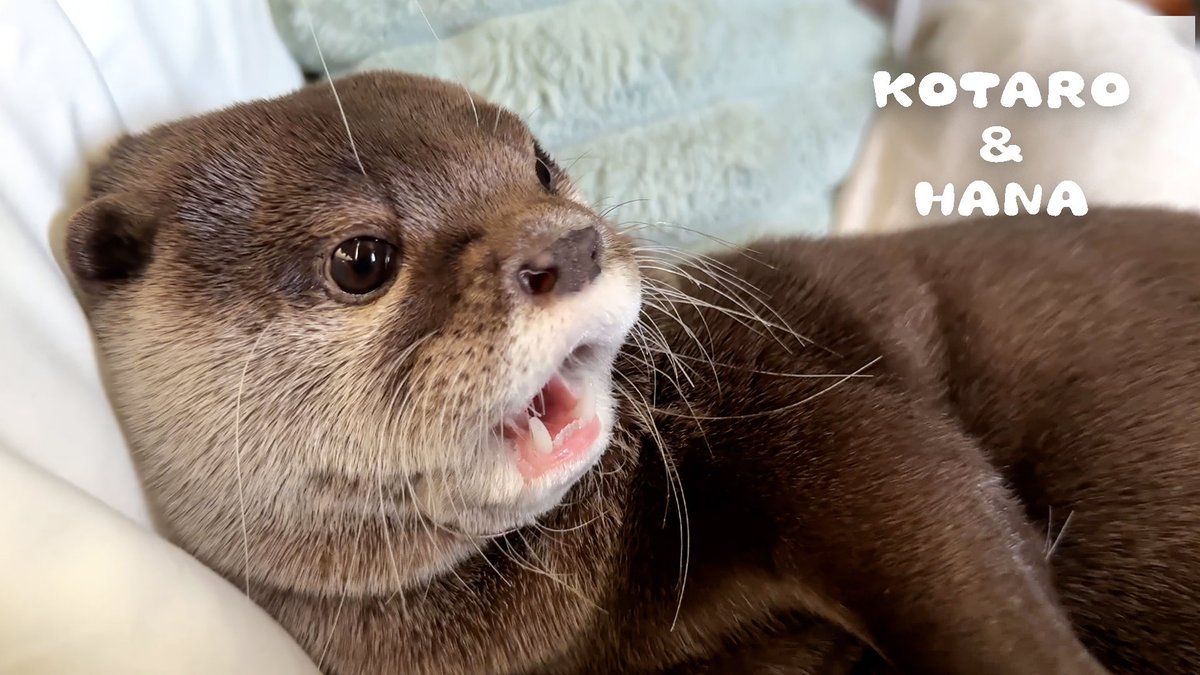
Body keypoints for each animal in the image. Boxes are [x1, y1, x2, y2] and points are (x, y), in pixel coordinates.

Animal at [65, 72, 1199, 674]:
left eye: (541, 164)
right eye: (362, 259)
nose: (568, 243)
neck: (590, 621)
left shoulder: (799, 389)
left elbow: (939, 519)